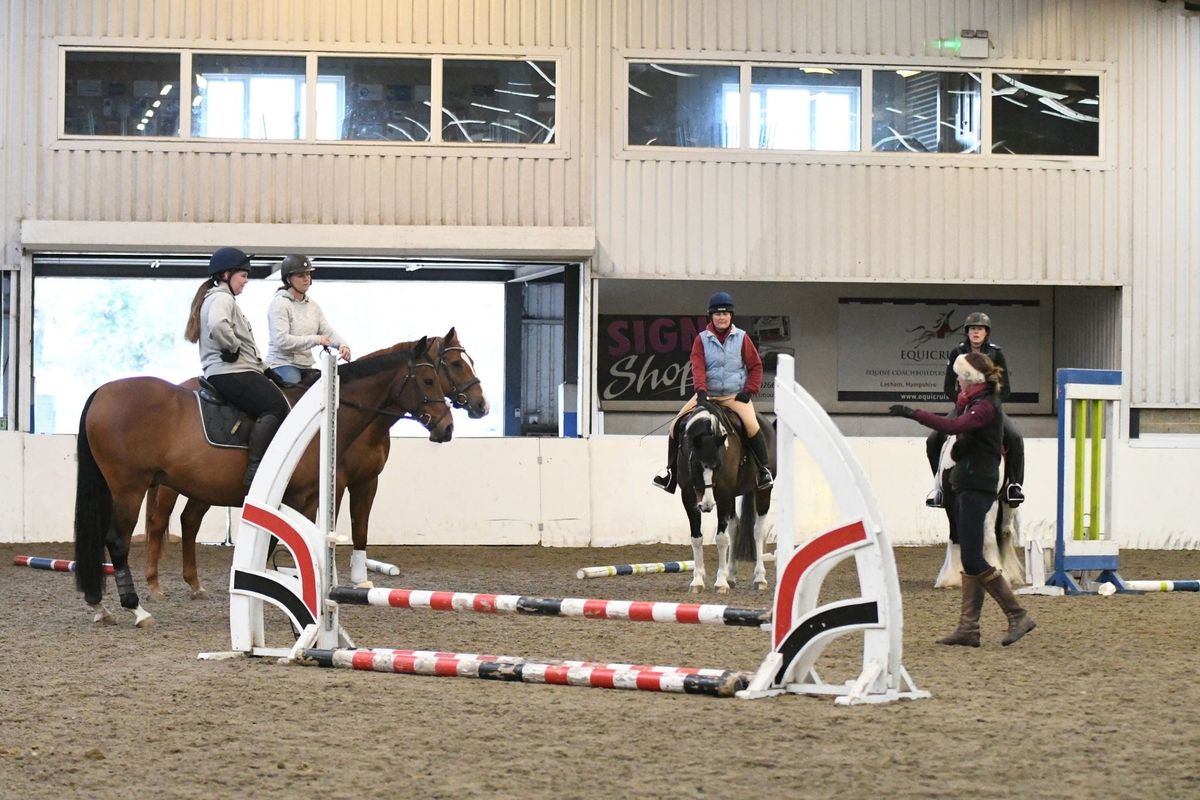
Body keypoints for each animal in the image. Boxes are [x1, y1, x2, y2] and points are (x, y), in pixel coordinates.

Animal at [73, 335, 453, 623]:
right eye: (429, 380)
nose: (447, 427)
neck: (320, 417)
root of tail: (101, 393)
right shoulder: (301, 497)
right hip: (131, 488)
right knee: (119, 540)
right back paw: (137, 608)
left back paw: (101, 605)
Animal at [142, 328, 489, 597]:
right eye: (451, 366)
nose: (479, 407)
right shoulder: (328, 487)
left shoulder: (366, 481)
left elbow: (359, 528)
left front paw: (359, 580)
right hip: (171, 485)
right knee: (160, 523)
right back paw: (155, 586)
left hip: (200, 487)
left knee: (189, 521)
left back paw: (194, 585)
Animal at [672, 400, 772, 594]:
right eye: (694, 464)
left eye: (718, 466)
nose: (707, 505)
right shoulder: (688, 496)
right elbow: (696, 538)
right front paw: (697, 580)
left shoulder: (724, 494)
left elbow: (721, 539)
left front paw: (720, 582)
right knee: (735, 528)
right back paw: (731, 575)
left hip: (762, 492)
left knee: (757, 531)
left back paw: (759, 578)